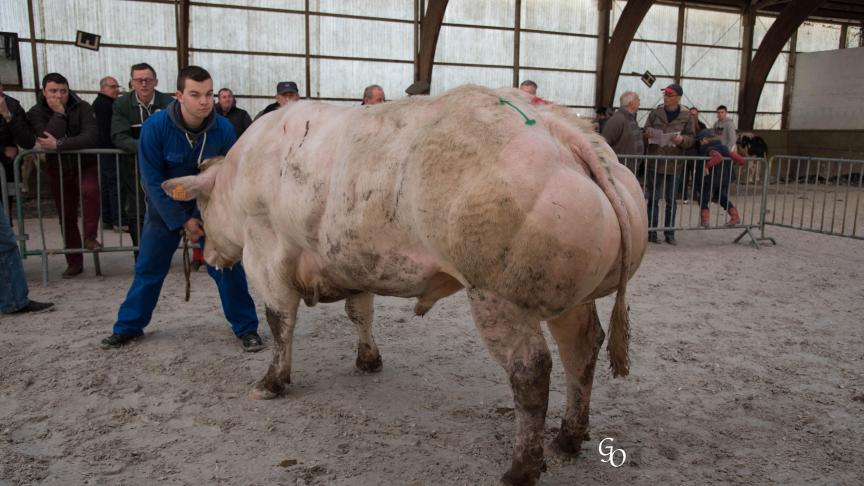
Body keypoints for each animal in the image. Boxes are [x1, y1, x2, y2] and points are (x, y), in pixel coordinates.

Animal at [164, 85, 648, 484]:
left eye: (201, 205)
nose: (209, 254)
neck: (245, 167)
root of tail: (561, 131)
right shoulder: (354, 258)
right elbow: (360, 311)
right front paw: (368, 359)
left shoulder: (267, 255)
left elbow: (280, 322)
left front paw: (271, 382)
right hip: (570, 299)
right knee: (580, 350)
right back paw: (568, 437)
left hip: (497, 297)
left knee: (531, 370)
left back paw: (521, 468)